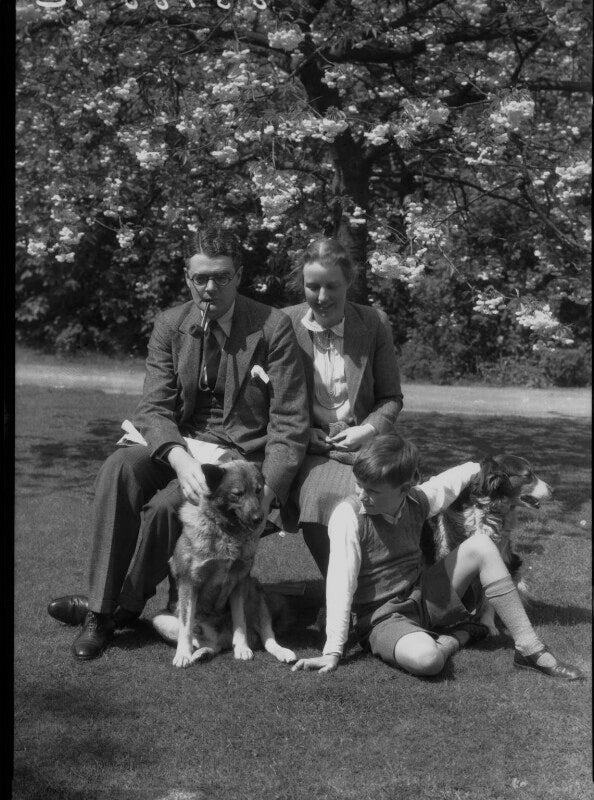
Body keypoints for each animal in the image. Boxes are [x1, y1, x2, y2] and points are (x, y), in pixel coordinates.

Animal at [150, 460, 294, 664]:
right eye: (237, 493)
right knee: (207, 642)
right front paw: (183, 654)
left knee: (268, 638)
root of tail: (223, 638)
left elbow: (240, 622)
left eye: (258, 491)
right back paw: (200, 653)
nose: (259, 519)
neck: (226, 531)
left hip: (256, 592)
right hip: (159, 619)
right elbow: (186, 628)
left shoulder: (240, 582)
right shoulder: (188, 583)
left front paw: (242, 648)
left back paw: (282, 652)